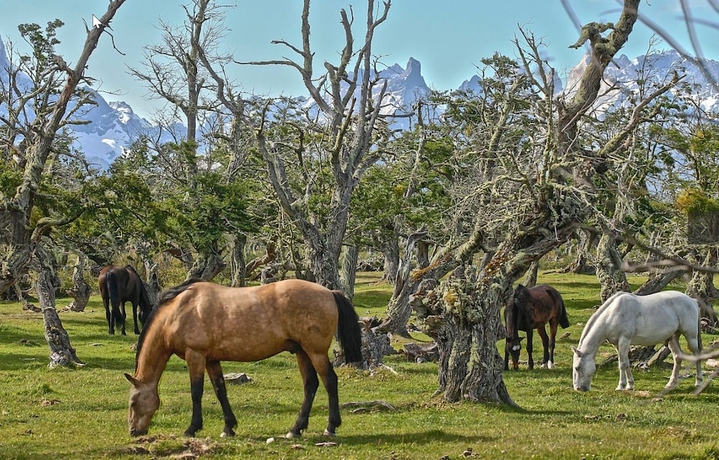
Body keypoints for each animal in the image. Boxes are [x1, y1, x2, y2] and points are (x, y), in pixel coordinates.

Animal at [124, 278, 363, 439]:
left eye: (133, 402)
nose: (134, 431)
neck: (178, 311)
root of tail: (329, 292)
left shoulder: (196, 356)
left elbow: (196, 392)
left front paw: (192, 428)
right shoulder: (211, 360)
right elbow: (220, 391)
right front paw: (228, 427)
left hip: (315, 352)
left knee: (330, 381)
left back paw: (330, 427)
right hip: (302, 352)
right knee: (311, 385)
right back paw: (295, 429)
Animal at [572, 290, 703, 392]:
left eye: (577, 367)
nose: (578, 388)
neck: (612, 314)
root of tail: (692, 301)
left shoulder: (624, 340)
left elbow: (622, 364)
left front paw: (621, 386)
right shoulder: (617, 344)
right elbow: (626, 362)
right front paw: (630, 385)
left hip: (691, 336)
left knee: (697, 355)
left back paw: (699, 382)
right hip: (673, 338)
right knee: (677, 357)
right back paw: (670, 384)